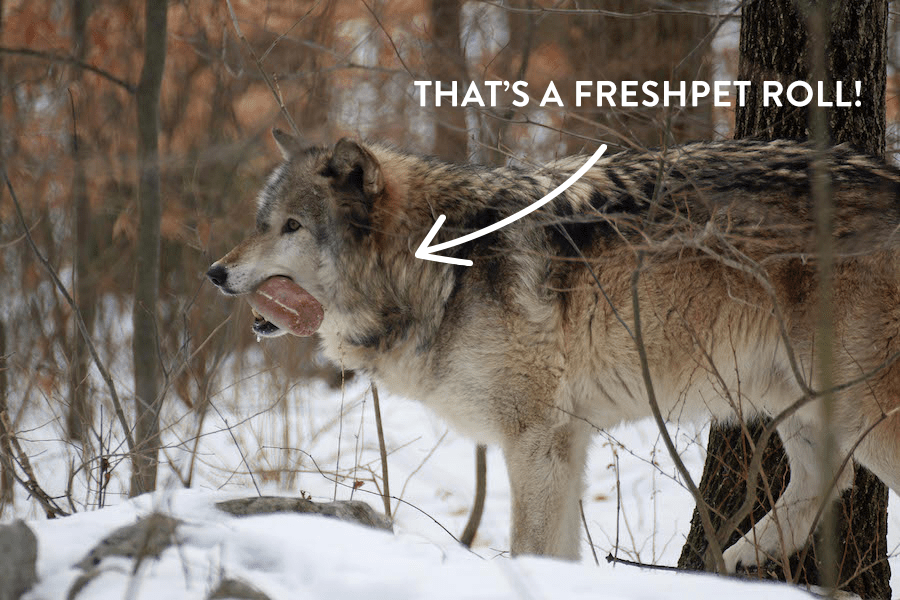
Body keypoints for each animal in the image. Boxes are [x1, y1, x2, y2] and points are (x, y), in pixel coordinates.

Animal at [208, 130, 900, 571]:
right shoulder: (567, 440)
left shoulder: (534, 438)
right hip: (796, 399)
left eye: (291, 228)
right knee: (823, 484)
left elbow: (530, 548)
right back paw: (735, 558)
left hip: (862, 409)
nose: (215, 272)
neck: (436, 268)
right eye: (262, 223)